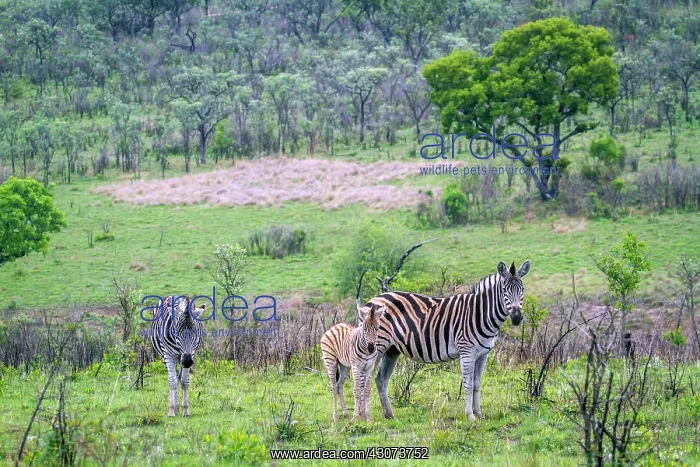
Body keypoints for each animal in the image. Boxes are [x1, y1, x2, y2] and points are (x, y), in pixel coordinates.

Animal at [365, 260, 530, 421]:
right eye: (504, 290)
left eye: (522, 290)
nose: (517, 317)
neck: (480, 314)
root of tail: (374, 298)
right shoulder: (466, 351)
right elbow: (468, 384)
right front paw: (470, 416)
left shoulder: (483, 354)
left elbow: (477, 384)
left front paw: (479, 414)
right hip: (377, 345)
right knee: (364, 377)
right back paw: (364, 417)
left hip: (391, 350)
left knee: (381, 379)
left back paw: (389, 415)